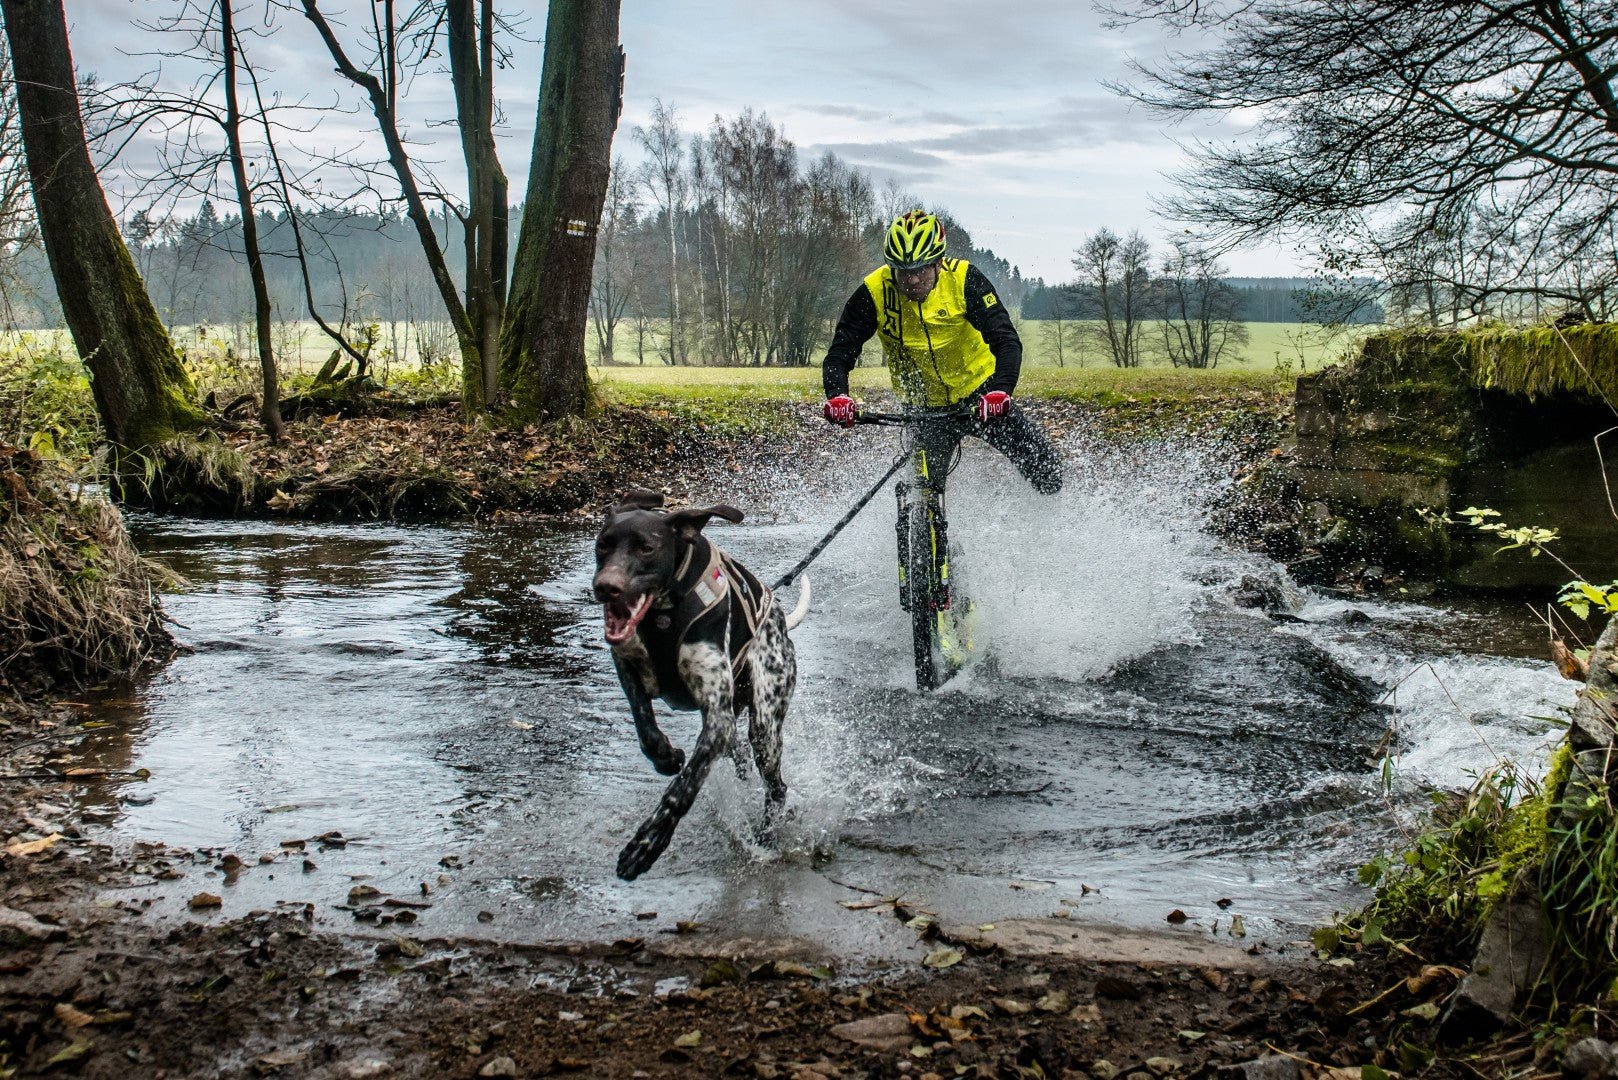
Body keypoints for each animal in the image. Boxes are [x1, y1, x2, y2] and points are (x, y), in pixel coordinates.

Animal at [592, 488, 809, 880]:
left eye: (647, 548)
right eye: (604, 544)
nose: (606, 587)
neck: (663, 616)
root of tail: (780, 617)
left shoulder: (717, 720)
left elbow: (683, 787)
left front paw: (647, 843)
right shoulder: (626, 662)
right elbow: (644, 725)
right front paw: (665, 754)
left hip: (765, 725)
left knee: (777, 787)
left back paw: (766, 838)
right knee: (739, 754)